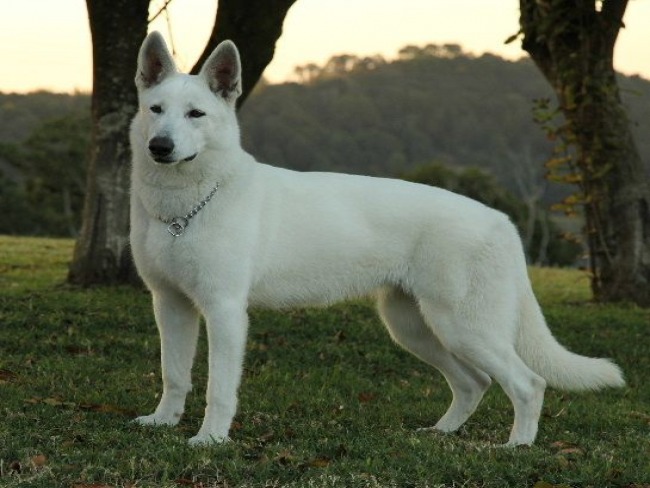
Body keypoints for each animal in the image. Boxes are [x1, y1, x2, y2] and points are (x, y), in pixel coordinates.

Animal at [128, 32, 624, 446]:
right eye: (156, 110)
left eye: (196, 114)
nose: (160, 147)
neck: (185, 207)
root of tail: (502, 221)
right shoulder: (170, 304)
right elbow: (174, 374)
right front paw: (164, 422)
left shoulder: (224, 311)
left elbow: (218, 387)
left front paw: (210, 439)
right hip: (415, 328)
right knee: (474, 382)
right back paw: (440, 433)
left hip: (463, 327)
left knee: (528, 383)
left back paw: (517, 447)